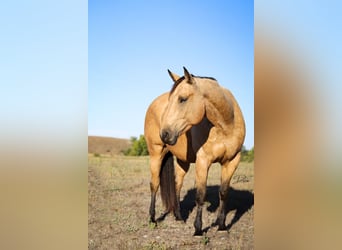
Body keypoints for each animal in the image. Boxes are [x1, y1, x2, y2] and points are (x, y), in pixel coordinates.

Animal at [144, 67, 246, 235]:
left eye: (182, 99)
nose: (164, 134)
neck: (225, 125)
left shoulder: (232, 161)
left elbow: (224, 193)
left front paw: (222, 226)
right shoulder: (203, 161)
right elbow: (200, 195)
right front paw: (198, 229)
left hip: (182, 161)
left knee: (177, 185)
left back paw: (179, 217)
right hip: (156, 154)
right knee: (154, 184)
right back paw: (152, 219)